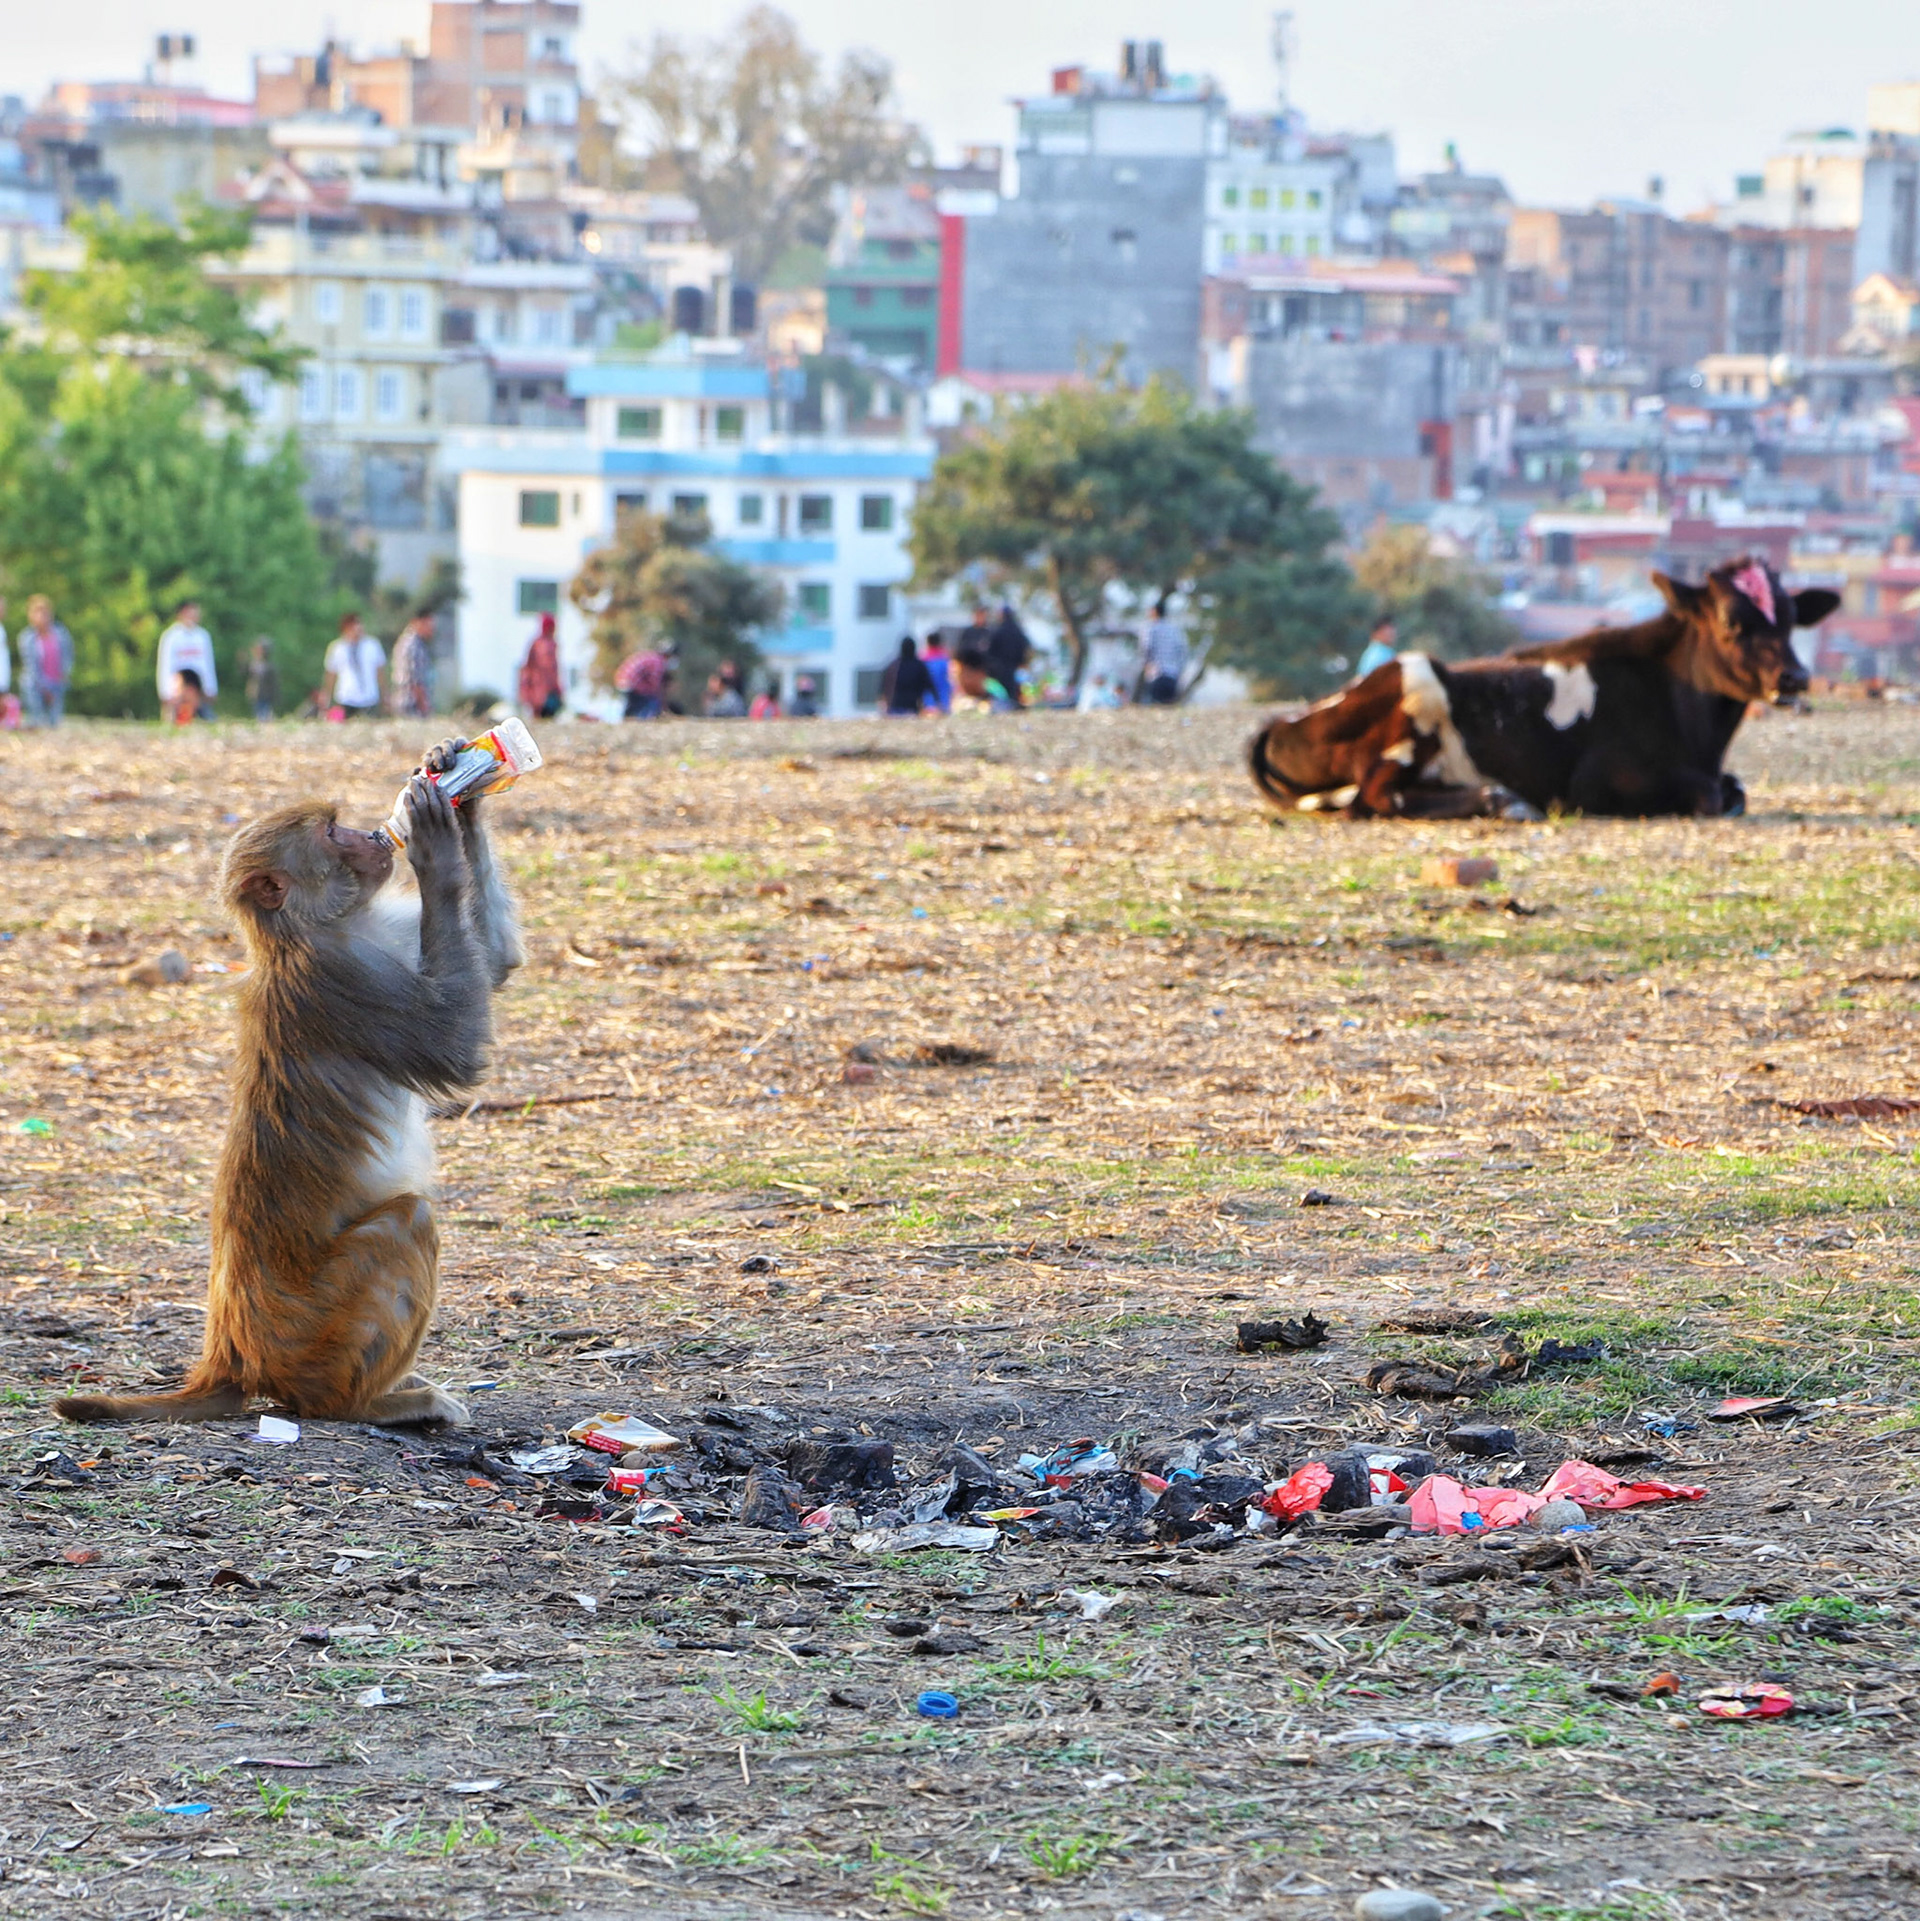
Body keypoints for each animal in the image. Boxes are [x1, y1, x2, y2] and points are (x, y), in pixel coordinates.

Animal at [55, 739, 524, 1429]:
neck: (320, 928)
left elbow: (494, 966)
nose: (372, 838)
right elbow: (455, 1050)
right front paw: (435, 843)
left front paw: (460, 790)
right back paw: (366, 1403)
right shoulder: (342, 982)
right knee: (408, 1221)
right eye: (331, 833)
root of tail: (230, 1354)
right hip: (313, 1331)